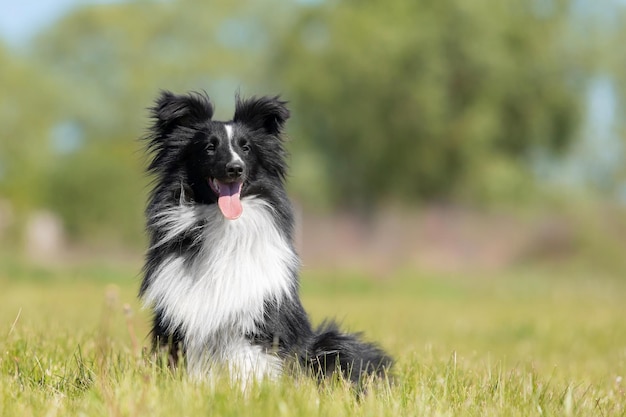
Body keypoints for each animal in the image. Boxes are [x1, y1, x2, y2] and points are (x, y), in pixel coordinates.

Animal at [140, 90, 390, 384]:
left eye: (246, 148)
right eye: (209, 147)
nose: (235, 168)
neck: (224, 224)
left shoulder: (256, 319)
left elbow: (248, 363)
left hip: (332, 344)